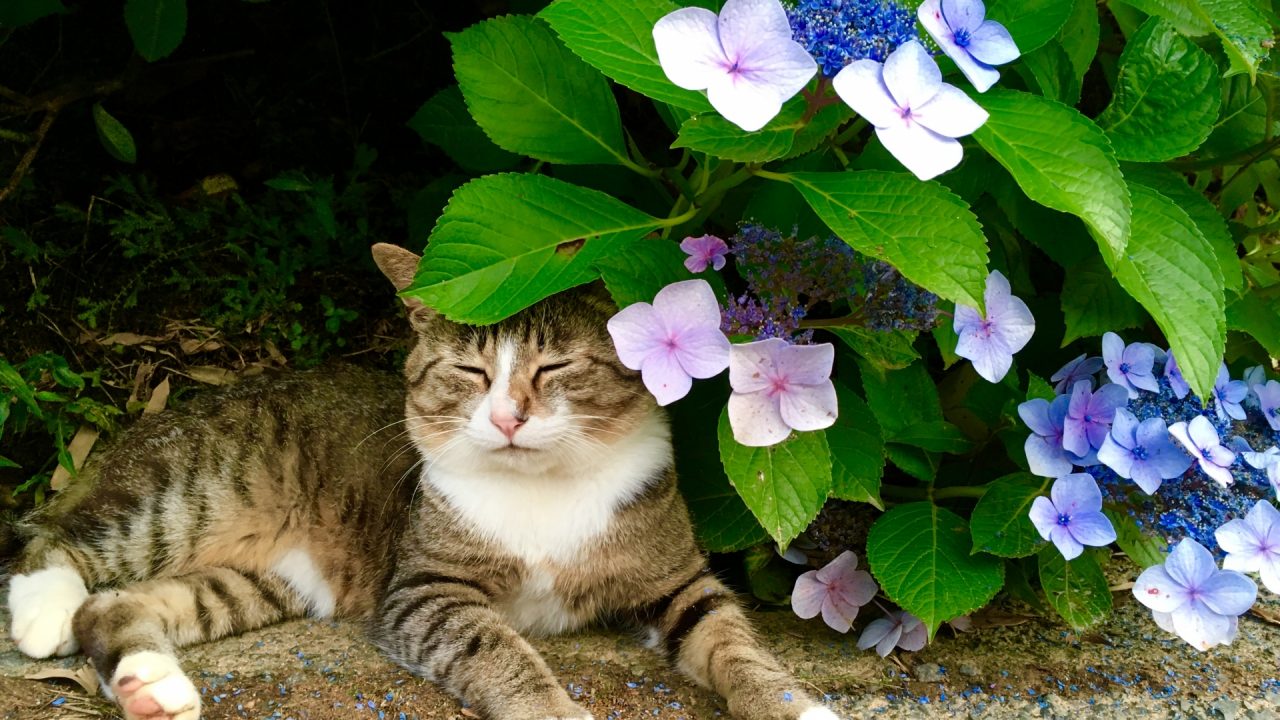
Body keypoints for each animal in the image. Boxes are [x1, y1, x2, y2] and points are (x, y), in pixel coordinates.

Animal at [10, 242, 844, 717]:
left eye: (554, 367)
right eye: (470, 372)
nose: (506, 416)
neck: (544, 486)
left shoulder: (676, 579)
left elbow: (736, 644)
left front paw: (797, 707)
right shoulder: (424, 587)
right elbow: (499, 651)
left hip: (275, 577)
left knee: (118, 604)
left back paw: (154, 688)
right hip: (193, 491)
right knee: (54, 538)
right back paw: (44, 608)